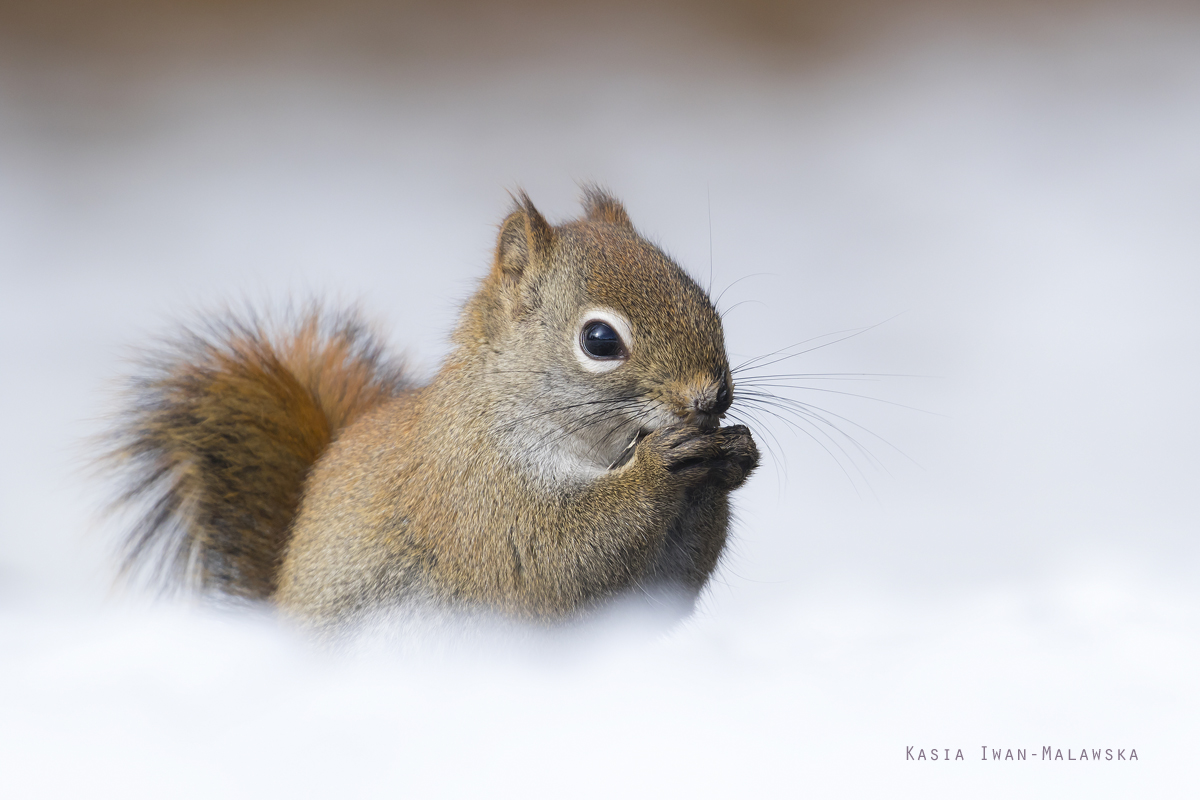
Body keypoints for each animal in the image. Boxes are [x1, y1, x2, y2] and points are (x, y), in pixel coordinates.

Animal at [105, 188, 758, 638]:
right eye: (600, 340)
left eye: (705, 302)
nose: (711, 398)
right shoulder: (476, 498)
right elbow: (553, 559)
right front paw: (660, 467)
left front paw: (734, 456)